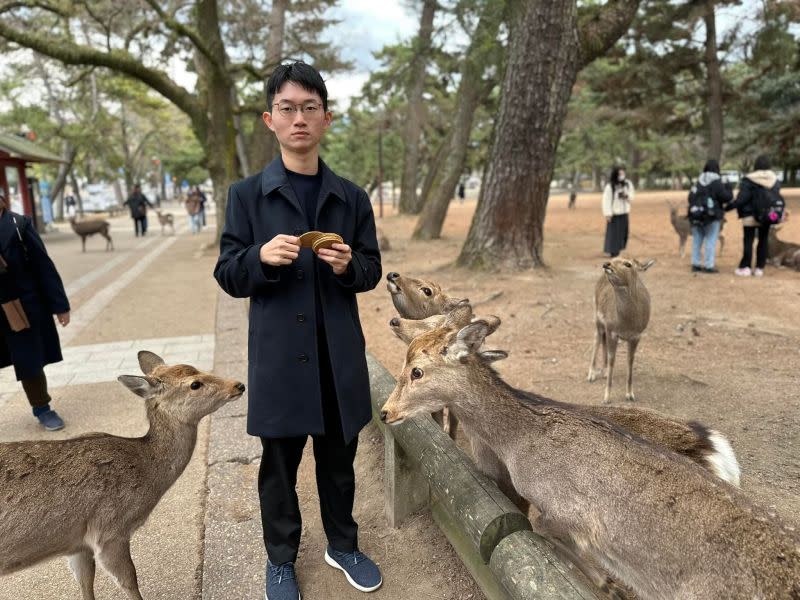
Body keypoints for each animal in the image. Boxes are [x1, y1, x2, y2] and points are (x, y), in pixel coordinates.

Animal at [0, 352, 245, 600]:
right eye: (195, 384)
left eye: (195, 367)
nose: (239, 385)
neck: (146, 472)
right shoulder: (109, 531)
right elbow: (129, 580)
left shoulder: (78, 543)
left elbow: (85, 581)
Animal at [382, 322, 800, 600]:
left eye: (417, 371)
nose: (385, 412)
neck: (519, 444)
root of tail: (719, 451)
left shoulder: (568, 511)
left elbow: (543, 529)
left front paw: (607, 583)